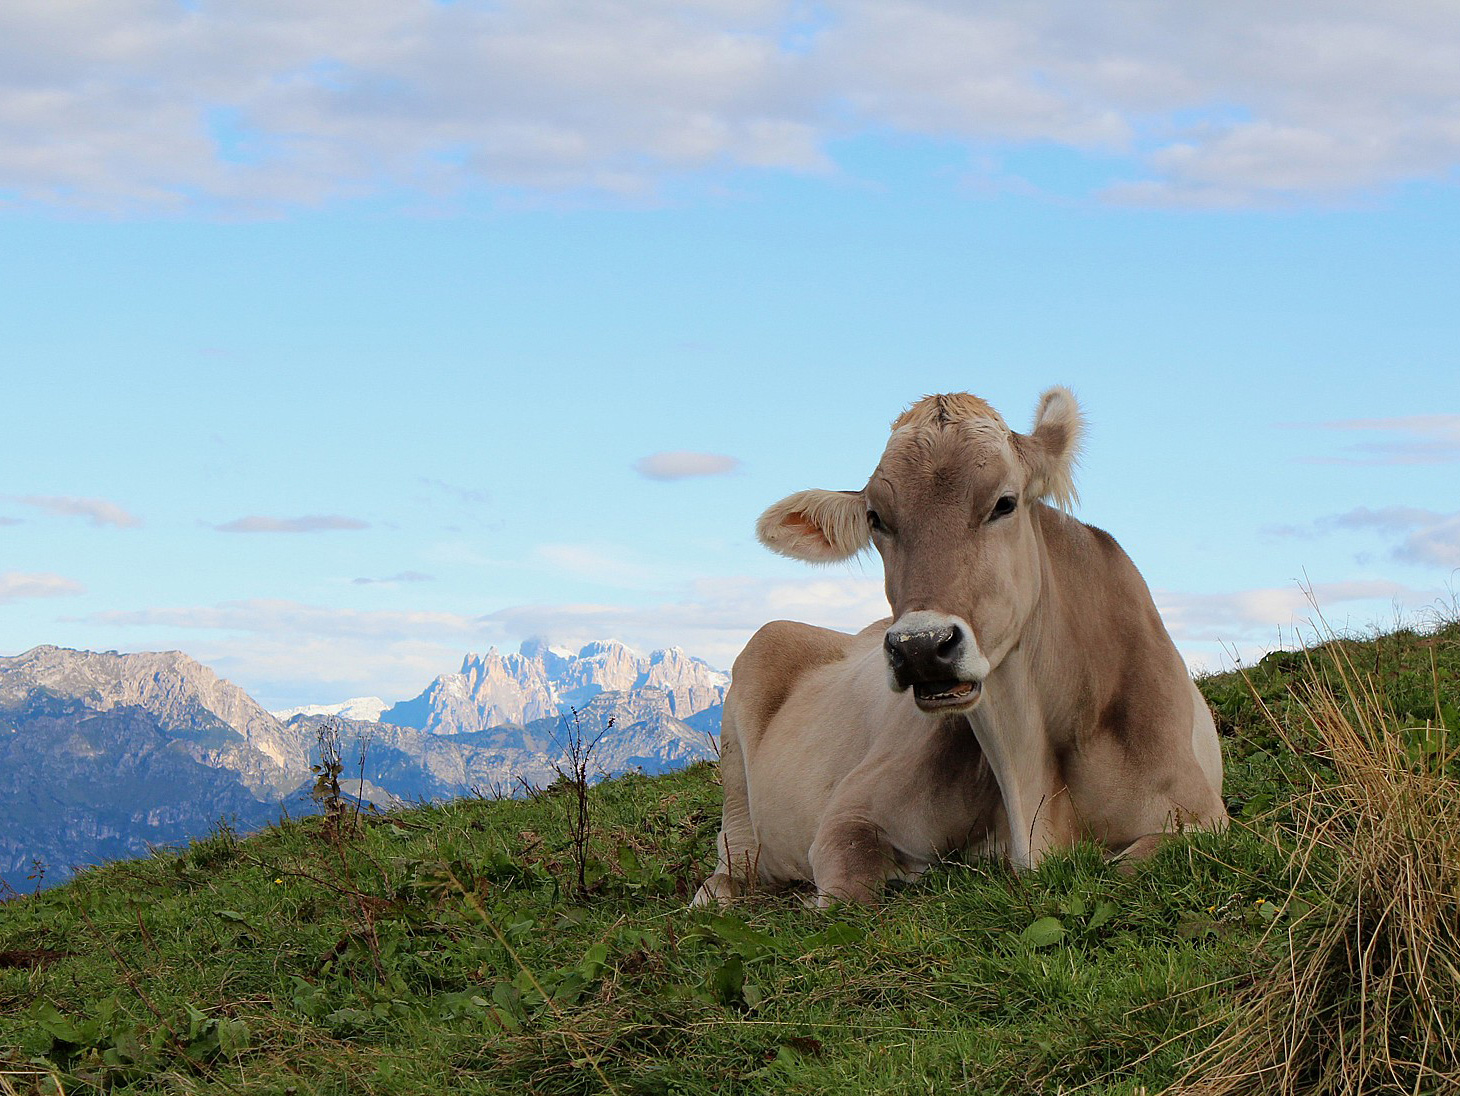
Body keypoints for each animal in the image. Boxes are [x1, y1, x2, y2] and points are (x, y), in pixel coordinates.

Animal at [700, 388, 1226, 910]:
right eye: (876, 518)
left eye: (1005, 503)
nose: (920, 647)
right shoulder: (849, 813)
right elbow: (849, 890)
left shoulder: (1202, 817)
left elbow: (1131, 865)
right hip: (742, 735)